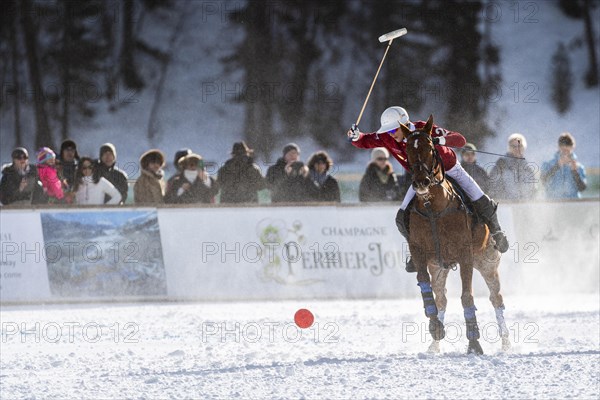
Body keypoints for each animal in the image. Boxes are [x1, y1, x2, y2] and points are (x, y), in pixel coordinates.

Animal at [396, 116, 508, 356]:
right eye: (407, 150)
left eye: (430, 147)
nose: (421, 182)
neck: (433, 207)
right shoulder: (419, 253)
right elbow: (426, 289)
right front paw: (435, 328)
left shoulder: (465, 255)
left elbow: (467, 297)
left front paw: (474, 343)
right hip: (439, 267)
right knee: (441, 298)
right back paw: (433, 345)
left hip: (487, 262)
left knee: (496, 298)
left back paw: (506, 342)